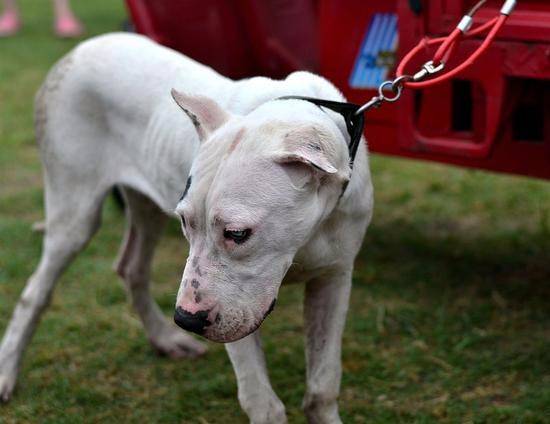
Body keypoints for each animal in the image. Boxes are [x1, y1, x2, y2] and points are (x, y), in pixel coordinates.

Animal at [0, 34, 376, 424]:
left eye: (237, 233)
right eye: (185, 222)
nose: (185, 319)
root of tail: (79, 50)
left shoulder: (333, 278)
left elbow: (322, 385)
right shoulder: (230, 307)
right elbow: (261, 401)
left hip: (148, 207)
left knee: (132, 268)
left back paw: (166, 340)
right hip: (74, 216)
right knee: (35, 292)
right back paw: (7, 372)